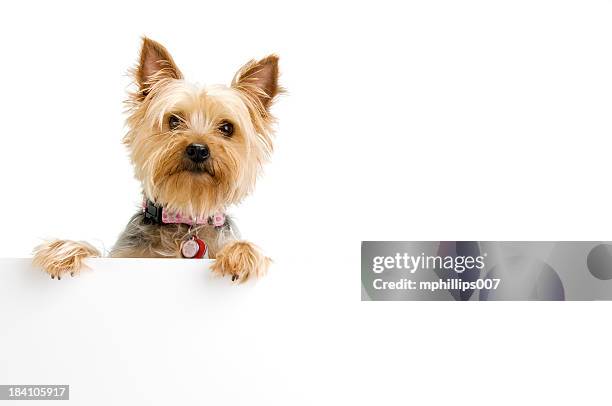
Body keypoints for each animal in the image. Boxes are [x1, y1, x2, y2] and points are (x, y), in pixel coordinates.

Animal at [33, 38, 282, 282]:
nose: (198, 150)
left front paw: (242, 253)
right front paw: (64, 250)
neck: (186, 221)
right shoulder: (124, 256)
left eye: (227, 128)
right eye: (173, 120)